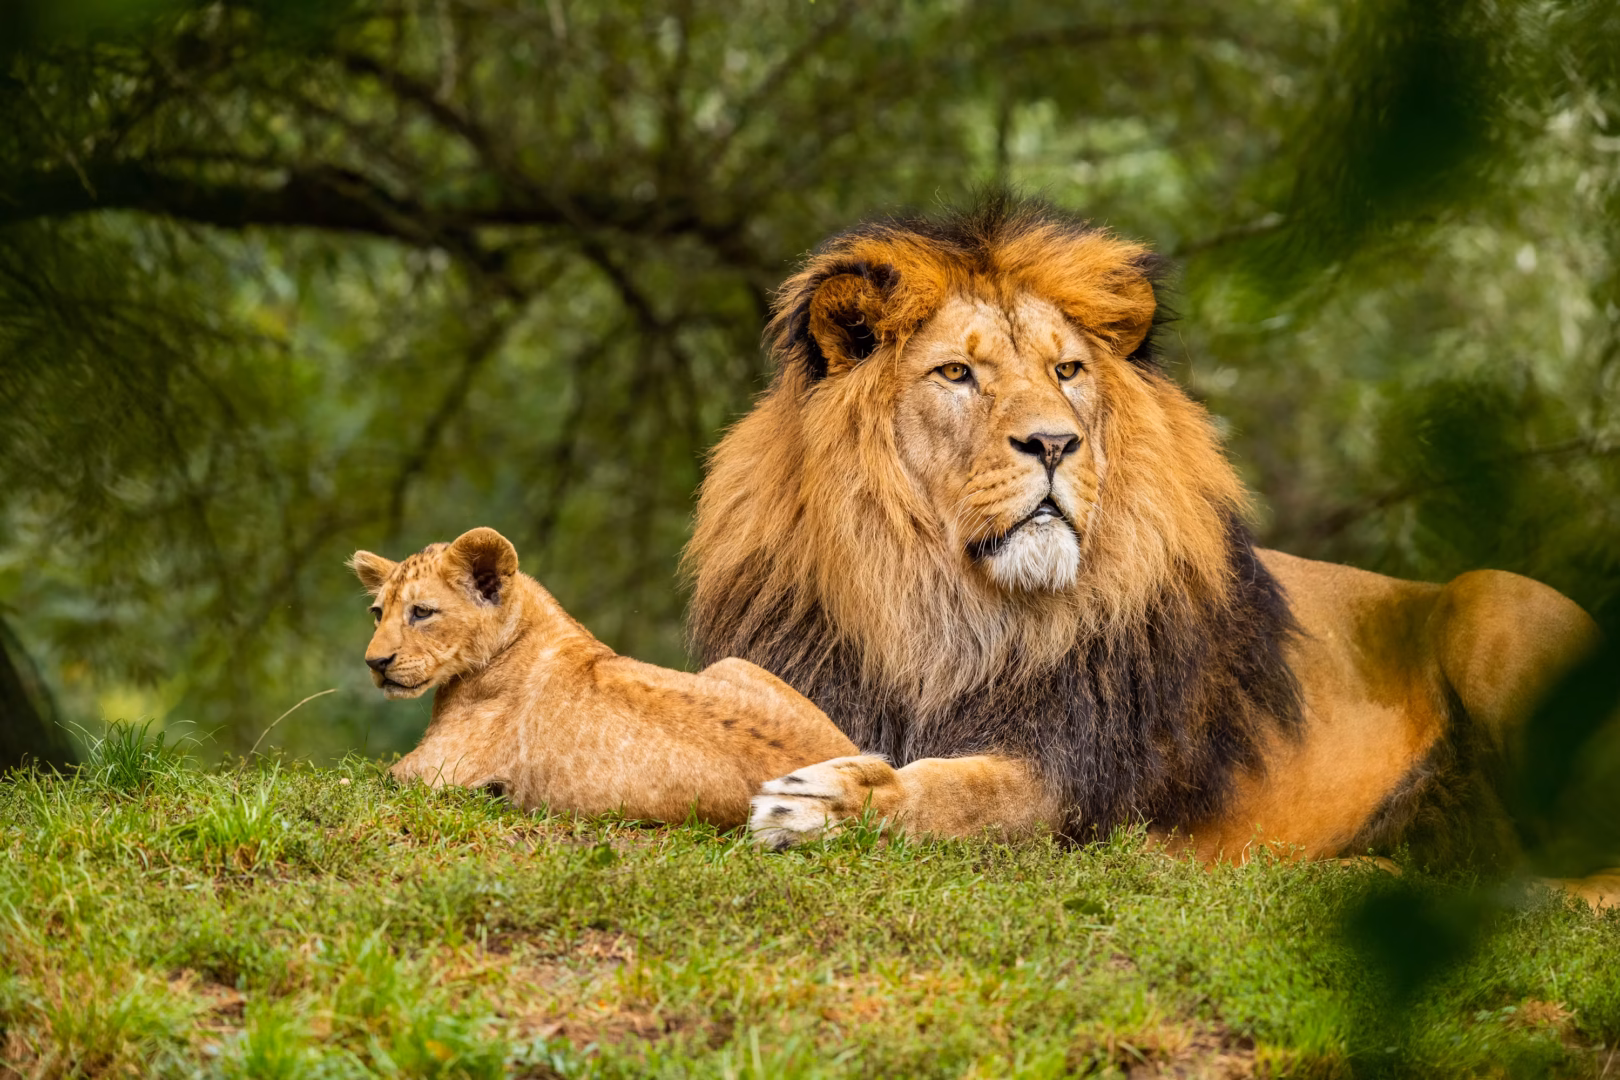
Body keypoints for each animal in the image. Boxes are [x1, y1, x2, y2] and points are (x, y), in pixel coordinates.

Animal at [349, 527, 856, 825]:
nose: (375, 663)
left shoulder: (432, 773)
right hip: (731, 663)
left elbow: (360, 781)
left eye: (421, 612)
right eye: (377, 613)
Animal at [684, 194, 1613, 897]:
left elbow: (959, 791)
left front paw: (827, 802)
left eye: (1066, 372)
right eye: (956, 374)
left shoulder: (1077, 778)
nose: (1055, 444)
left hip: (1492, 601)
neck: (944, 608)